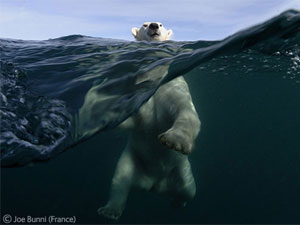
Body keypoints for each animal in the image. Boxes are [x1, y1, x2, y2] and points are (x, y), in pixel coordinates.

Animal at [98, 22, 200, 220]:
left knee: (188, 190)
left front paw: (174, 140)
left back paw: (178, 202)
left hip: (181, 170)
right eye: (144, 25)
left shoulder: (172, 86)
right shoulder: (137, 92)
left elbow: (185, 110)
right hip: (132, 160)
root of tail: (155, 185)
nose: (153, 26)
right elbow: (130, 119)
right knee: (120, 180)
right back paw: (110, 210)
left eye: (161, 24)